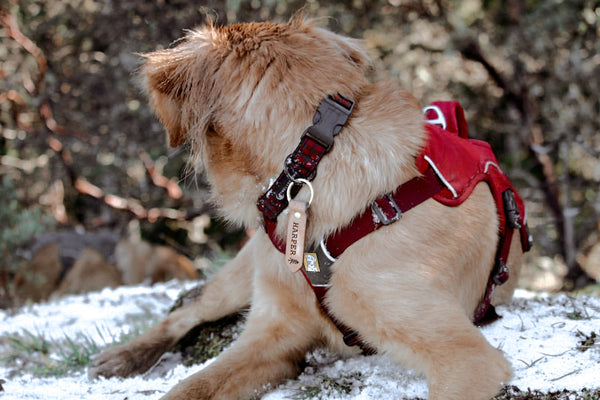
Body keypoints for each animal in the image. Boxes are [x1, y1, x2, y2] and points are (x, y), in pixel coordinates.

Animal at [86, 18, 528, 400]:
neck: (310, 164)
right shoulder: (272, 333)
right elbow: (188, 387)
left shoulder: (465, 356)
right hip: (243, 273)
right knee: (190, 311)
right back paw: (124, 356)